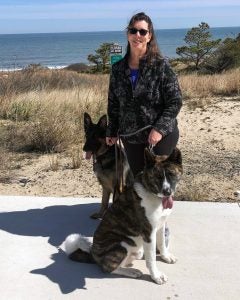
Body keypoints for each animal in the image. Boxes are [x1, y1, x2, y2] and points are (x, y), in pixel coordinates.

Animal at [63, 149, 182, 284]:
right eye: (157, 176)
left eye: (171, 174)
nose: (167, 192)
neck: (152, 193)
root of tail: (94, 255)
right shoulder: (149, 234)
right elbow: (151, 258)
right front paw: (156, 276)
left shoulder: (160, 226)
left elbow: (162, 244)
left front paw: (165, 257)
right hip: (121, 246)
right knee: (109, 268)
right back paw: (131, 272)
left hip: (137, 249)